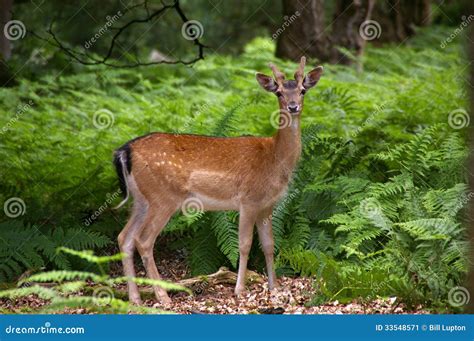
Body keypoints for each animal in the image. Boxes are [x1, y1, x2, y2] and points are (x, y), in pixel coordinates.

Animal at [113, 56, 324, 302]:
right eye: (279, 92)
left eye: (302, 90)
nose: (293, 106)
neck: (274, 158)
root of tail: (125, 151)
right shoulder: (248, 200)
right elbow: (245, 244)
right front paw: (239, 289)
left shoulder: (267, 205)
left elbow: (269, 245)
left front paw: (274, 287)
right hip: (162, 197)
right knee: (143, 241)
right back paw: (163, 296)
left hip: (141, 199)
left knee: (124, 238)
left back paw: (135, 298)